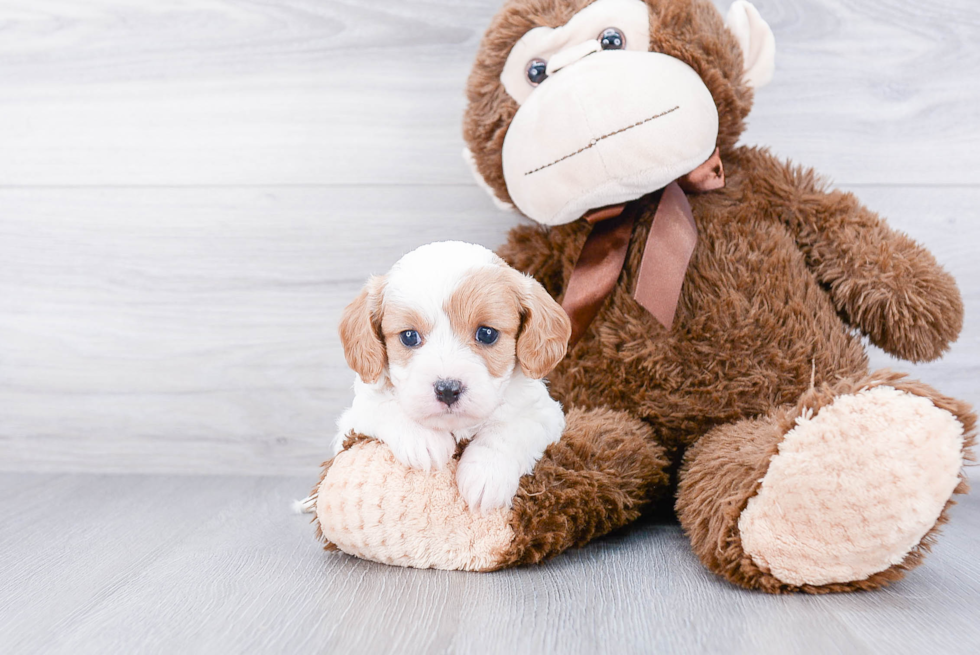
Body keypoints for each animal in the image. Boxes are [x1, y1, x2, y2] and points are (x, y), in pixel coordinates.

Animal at [334, 241, 572, 512]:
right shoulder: (351, 421)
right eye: (409, 336)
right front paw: (422, 437)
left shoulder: (545, 414)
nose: (447, 389)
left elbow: (510, 430)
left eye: (487, 333)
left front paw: (487, 473)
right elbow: (383, 405)